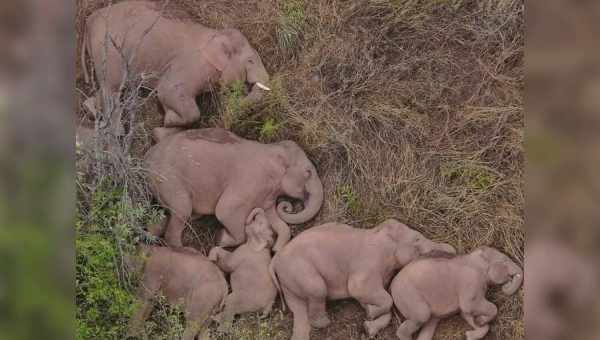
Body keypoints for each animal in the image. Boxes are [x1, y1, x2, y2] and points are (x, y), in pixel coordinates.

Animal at [82, 0, 270, 135]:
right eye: (250, 61)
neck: (216, 33)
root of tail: (89, 20)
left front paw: (168, 119)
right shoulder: (189, 65)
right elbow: (167, 91)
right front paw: (168, 120)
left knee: (106, 87)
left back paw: (90, 109)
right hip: (108, 48)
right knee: (113, 88)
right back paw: (117, 132)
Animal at [145, 127, 324, 252]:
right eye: (308, 172)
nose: (288, 206)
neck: (272, 149)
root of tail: (146, 158)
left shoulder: (267, 194)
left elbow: (276, 220)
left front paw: (277, 248)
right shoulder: (250, 180)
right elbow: (224, 210)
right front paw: (220, 238)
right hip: (168, 179)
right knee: (182, 209)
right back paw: (186, 250)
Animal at [270, 218, 458, 340]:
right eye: (417, 239)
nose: (452, 249)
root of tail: (275, 260)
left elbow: (368, 299)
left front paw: (368, 323)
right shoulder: (368, 263)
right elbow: (360, 289)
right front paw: (369, 313)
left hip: (289, 281)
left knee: (298, 309)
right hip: (299, 269)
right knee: (317, 289)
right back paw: (323, 322)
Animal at [392, 246, 524, 340]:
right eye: (505, 261)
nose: (507, 284)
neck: (472, 257)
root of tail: (391, 287)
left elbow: (465, 314)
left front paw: (473, 329)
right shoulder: (470, 281)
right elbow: (470, 307)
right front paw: (480, 321)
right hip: (408, 296)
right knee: (421, 316)